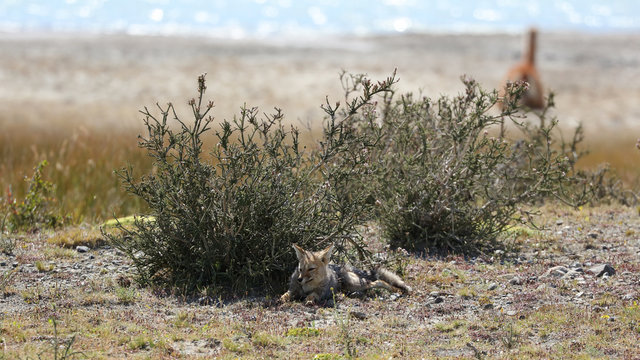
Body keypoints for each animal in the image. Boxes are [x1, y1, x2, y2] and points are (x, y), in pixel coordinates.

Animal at [278, 242, 410, 304]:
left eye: (311, 269)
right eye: (301, 269)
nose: (299, 279)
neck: (307, 287)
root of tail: (344, 267)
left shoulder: (321, 293)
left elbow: (312, 295)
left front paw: (309, 299)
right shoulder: (292, 290)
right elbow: (285, 294)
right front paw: (281, 299)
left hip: (355, 284)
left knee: (378, 281)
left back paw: (395, 290)